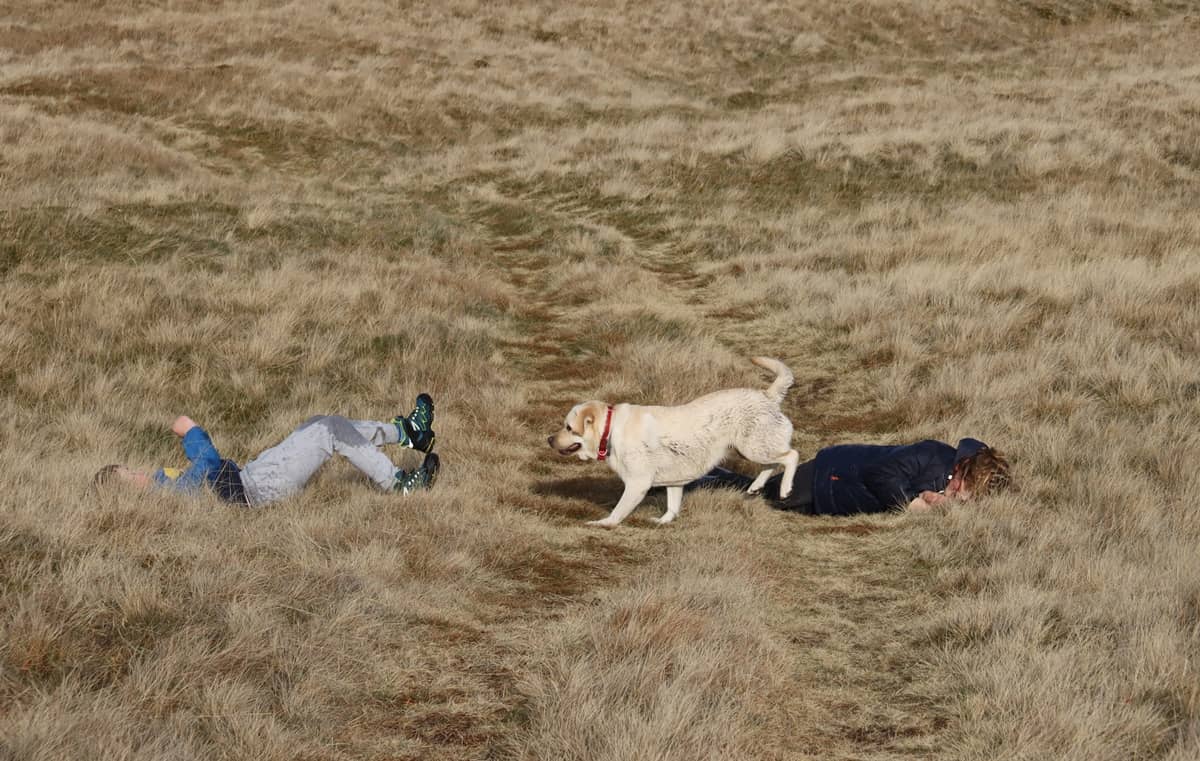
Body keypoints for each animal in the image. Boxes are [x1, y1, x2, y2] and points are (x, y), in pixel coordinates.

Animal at [549, 357, 796, 528]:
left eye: (569, 427)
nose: (549, 439)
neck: (610, 431)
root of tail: (767, 395)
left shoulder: (637, 484)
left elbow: (618, 511)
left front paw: (603, 523)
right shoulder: (675, 480)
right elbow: (672, 506)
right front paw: (663, 521)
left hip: (753, 448)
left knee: (790, 456)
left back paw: (785, 489)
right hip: (749, 449)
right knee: (772, 464)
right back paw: (755, 487)